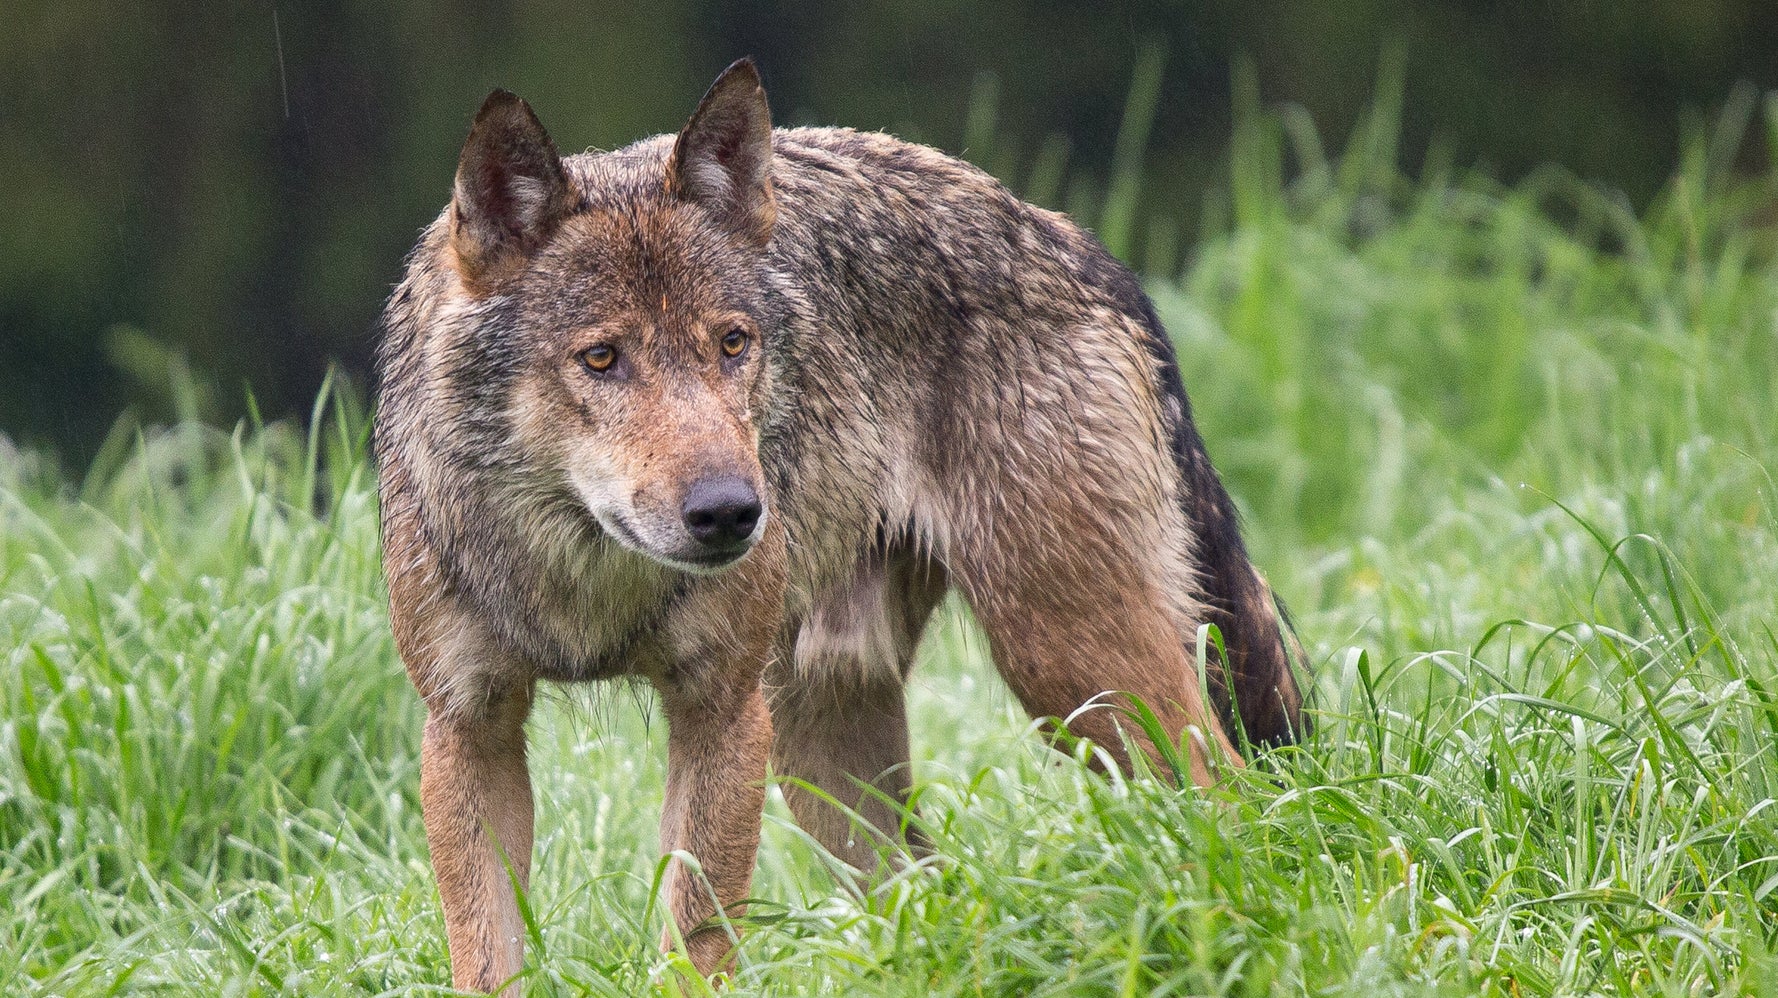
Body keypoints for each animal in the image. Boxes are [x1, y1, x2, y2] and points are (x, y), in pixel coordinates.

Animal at [375, 58, 1304, 993]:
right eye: (602, 358)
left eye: (733, 344)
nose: (731, 512)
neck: (582, 578)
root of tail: (1075, 242)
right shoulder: (470, 729)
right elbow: (485, 958)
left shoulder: (722, 712)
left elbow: (695, 940)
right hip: (824, 745)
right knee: (929, 883)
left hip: (1067, 671)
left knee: (1227, 792)